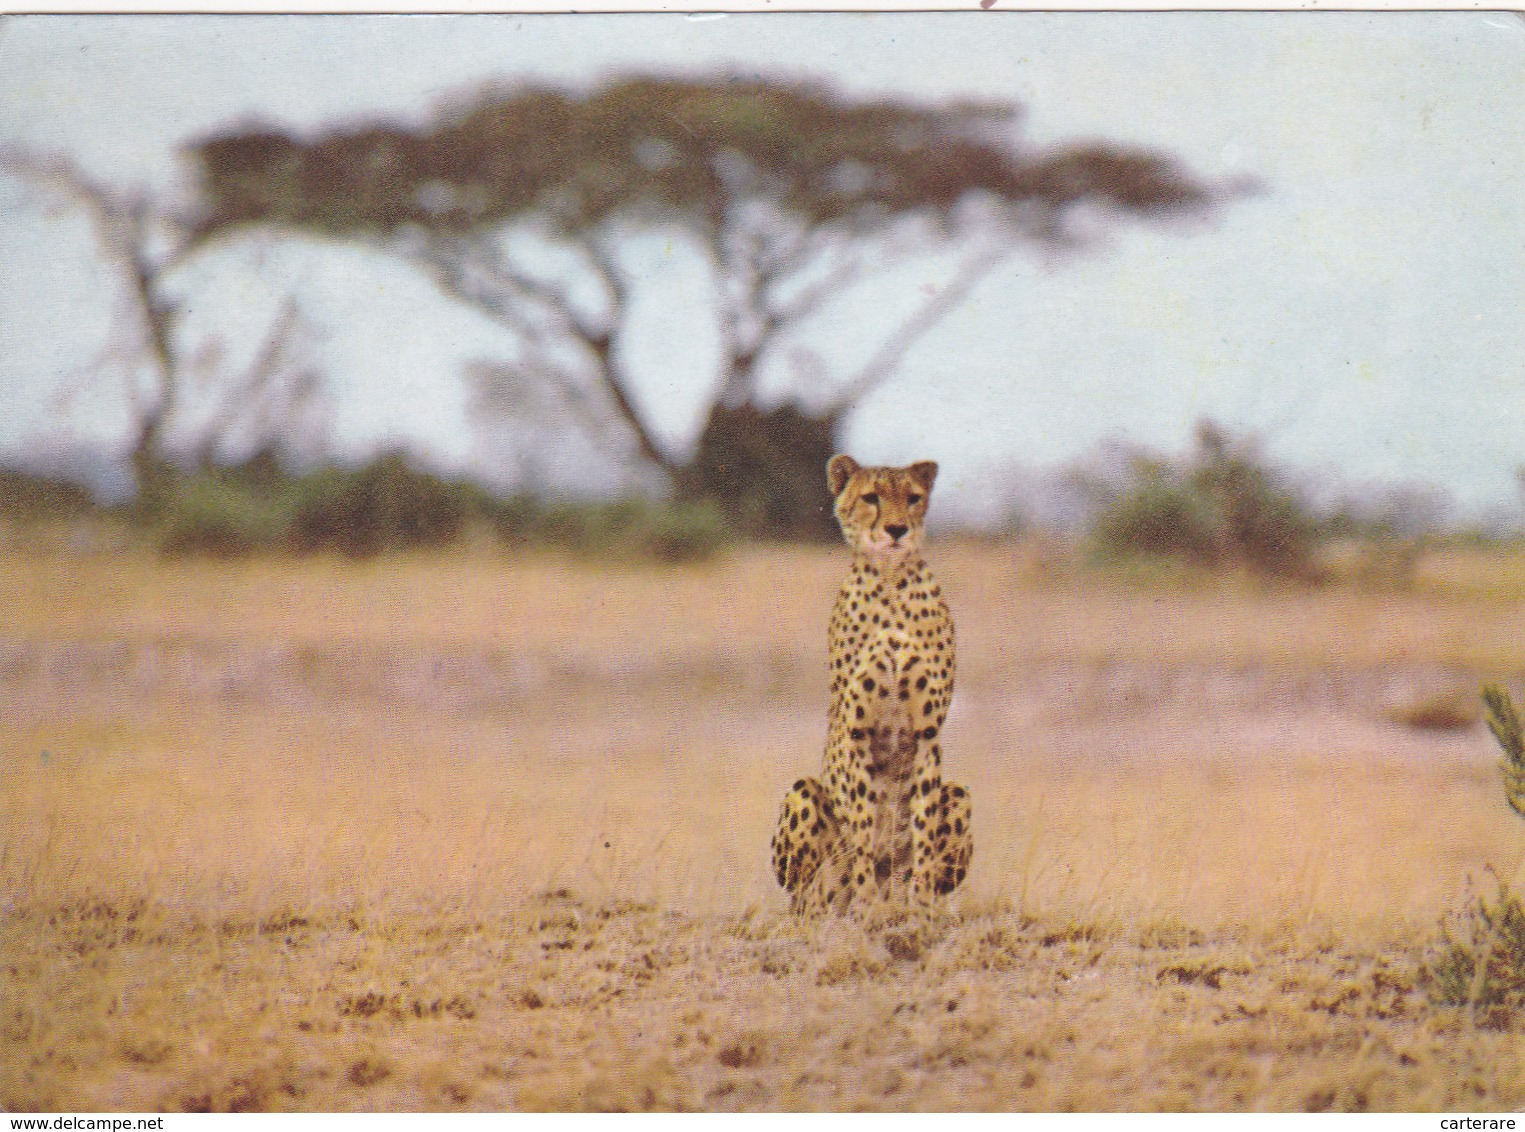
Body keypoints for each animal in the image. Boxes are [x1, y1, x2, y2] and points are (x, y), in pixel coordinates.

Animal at [768, 457, 969, 915]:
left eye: (913, 497)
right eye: (871, 497)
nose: (896, 530)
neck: (891, 582)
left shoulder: (926, 735)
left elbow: (922, 831)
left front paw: (918, 911)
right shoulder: (856, 734)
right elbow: (861, 827)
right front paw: (867, 909)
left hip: (959, 793)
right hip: (804, 795)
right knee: (806, 894)